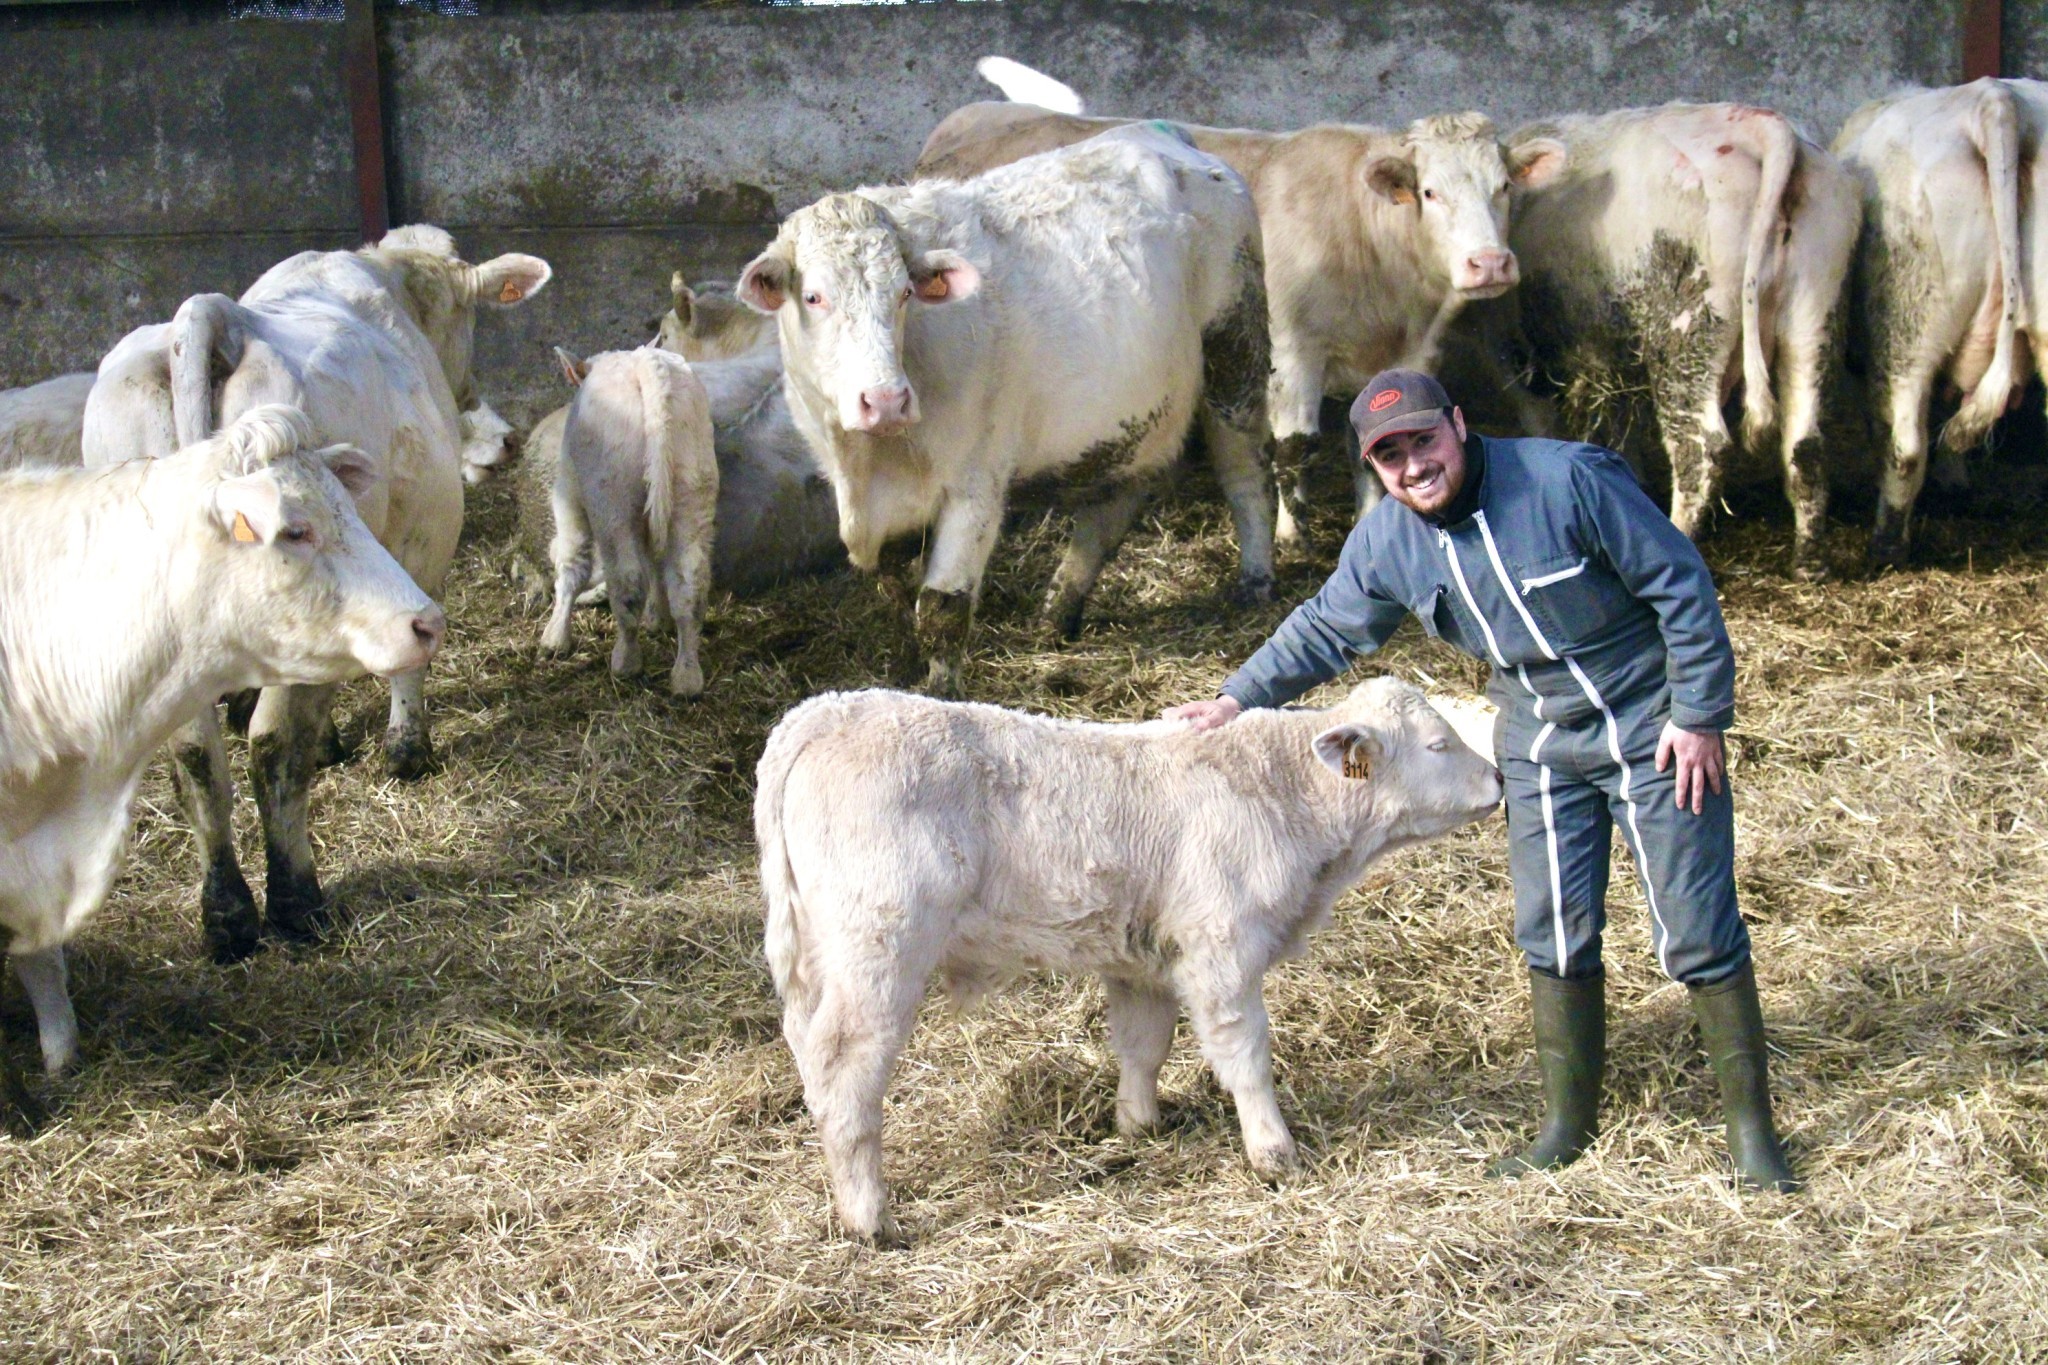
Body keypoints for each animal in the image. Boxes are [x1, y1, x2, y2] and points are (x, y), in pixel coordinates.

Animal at [536, 347, 720, 699]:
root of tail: (645, 366)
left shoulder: (570, 494)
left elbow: (572, 564)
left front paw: (555, 638)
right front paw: (658, 619)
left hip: (612, 497)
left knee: (628, 580)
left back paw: (626, 662)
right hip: (692, 484)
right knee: (689, 584)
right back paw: (687, 676)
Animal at [737, 124, 1277, 695]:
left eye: (904, 293)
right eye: (814, 297)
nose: (885, 401)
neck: (870, 466)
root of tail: (1165, 136)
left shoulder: (977, 481)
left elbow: (942, 609)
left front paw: (940, 697)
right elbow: (897, 595)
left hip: (1235, 353)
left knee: (1246, 470)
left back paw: (1255, 584)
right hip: (1134, 417)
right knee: (1113, 506)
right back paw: (1058, 610)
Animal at [757, 679, 1507, 1244]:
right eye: (1439, 744)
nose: (1500, 777)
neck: (1285, 795)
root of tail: (822, 711)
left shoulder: (1144, 958)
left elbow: (1144, 1044)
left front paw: (1139, 1125)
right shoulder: (1223, 948)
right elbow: (1246, 1054)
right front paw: (1274, 1154)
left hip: (818, 961)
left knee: (809, 1052)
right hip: (879, 952)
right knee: (845, 1068)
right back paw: (871, 1218)